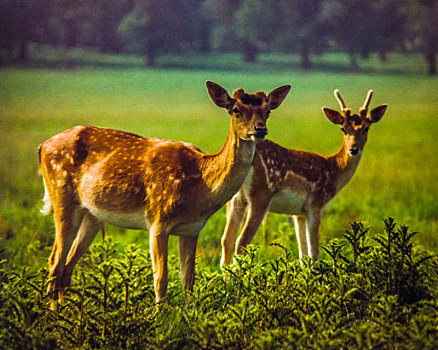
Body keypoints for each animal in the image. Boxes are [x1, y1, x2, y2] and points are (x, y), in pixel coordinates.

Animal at [38, 80, 290, 302]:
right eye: (236, 110)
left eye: (268, 111)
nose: (260, 129)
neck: (200, 187)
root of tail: (42, 146)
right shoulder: (158, 220)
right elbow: (161, 280)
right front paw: (159, 320)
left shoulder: (192, 230)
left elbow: (188, 280)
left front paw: (190, 316)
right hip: (62, 196)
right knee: (54, 263)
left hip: (91, 214)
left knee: (66, 267)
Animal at [222, 89, 386, 266]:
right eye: (343, 129)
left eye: (366, 128)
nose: (353, 149)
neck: (334, 171)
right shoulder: (315, 204)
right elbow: (314, 252)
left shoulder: (298, 213)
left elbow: (303, 254)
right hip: (261, 195)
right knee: (241, 241)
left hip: (236, 199)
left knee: (226, 239)